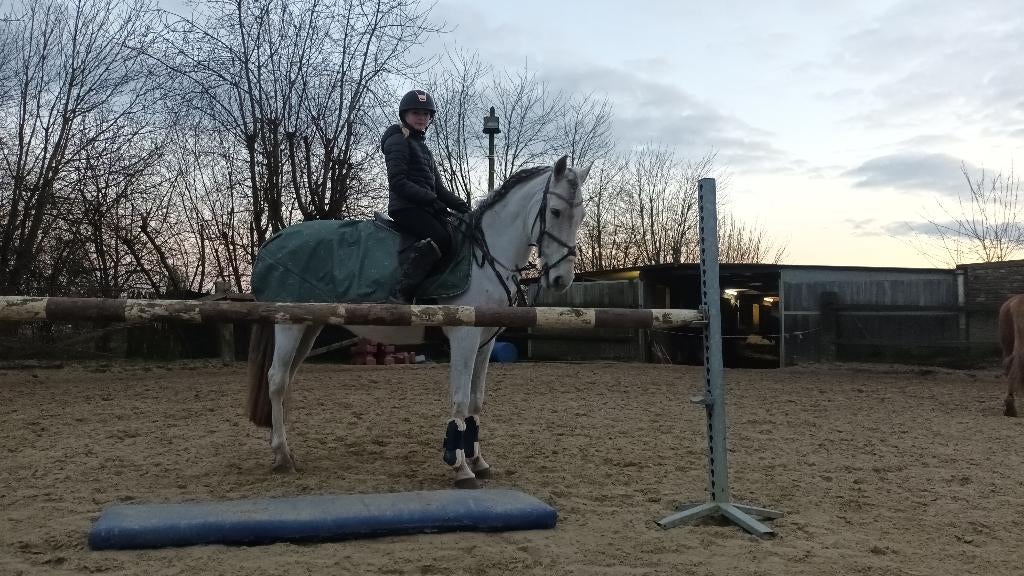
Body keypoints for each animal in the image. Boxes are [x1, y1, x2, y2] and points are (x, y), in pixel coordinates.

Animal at [246, 155, 591, 487]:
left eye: (581, 216)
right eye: (556, 212)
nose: (561, 280)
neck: (484, 257)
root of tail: (274, 241)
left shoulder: (485, 343)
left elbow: (476, 401)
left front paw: (478, 462)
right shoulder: (464, 339)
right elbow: (460, 400)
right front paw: (461, 469)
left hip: (310, 326)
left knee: (287, 379)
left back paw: (284, 450)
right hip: (289, 324)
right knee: (277, 380)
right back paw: (282, 456)